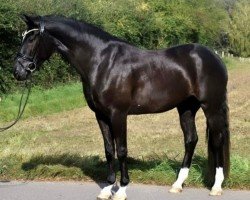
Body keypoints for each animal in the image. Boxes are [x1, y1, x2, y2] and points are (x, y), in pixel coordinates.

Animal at [12, 15, 229, 198]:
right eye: (23, 37)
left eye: (31, 38)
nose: (18, 72)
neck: (102, 62)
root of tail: (214, 56)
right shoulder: (101, 115)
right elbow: (109, 150)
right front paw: (107, 188)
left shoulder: (118, 114)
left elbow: (122, 149)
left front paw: (122, 189)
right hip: (186, 108)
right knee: (191, 140)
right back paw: (177, 185)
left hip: (212, 107)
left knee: (217, 140)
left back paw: (216, 186)